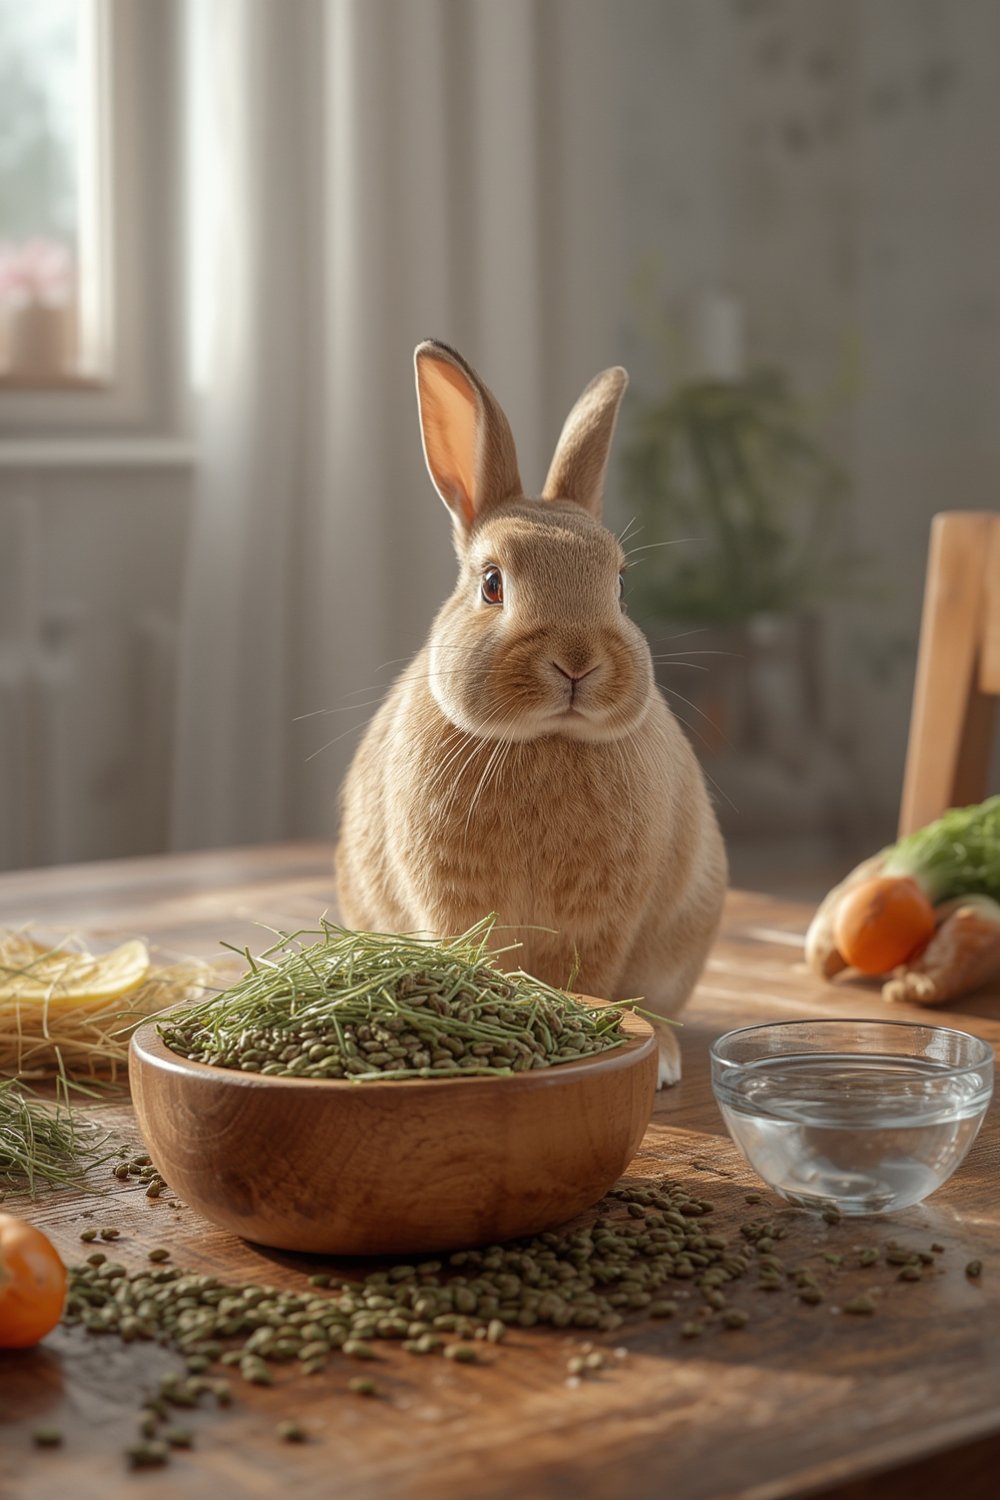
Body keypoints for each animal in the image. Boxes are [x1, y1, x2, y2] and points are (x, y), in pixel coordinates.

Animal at [335, 339, 728, 1085]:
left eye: (620, 585)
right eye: (493, 584)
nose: (577, 662)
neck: (542, 738)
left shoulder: (602, 919)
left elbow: (592, 977)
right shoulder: (452, 902)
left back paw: (662, 1055)